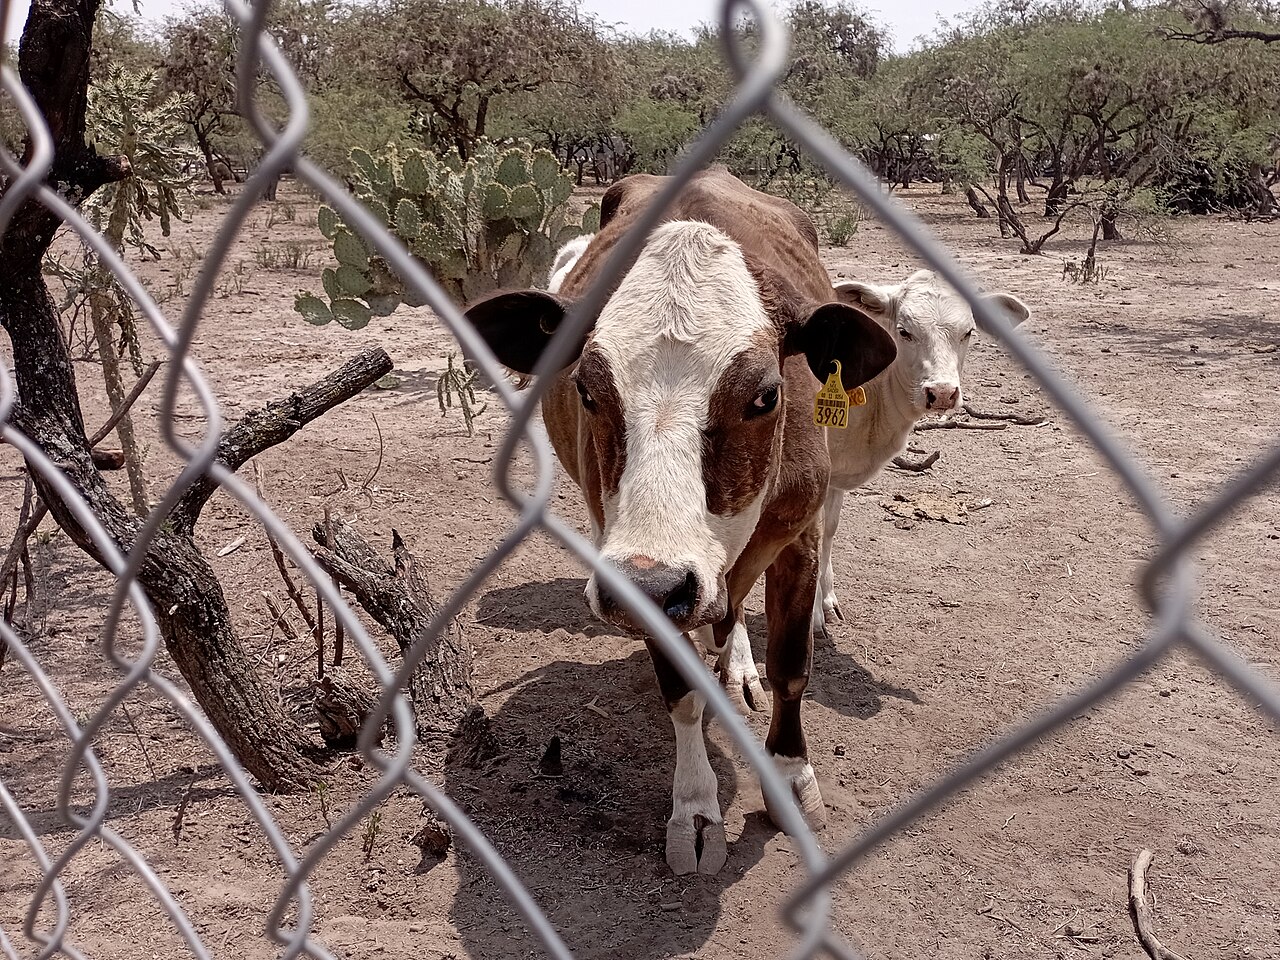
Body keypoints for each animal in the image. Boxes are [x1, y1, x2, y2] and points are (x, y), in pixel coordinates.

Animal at [463, 169, 896, 874]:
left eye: (766, 396)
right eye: (587, 390)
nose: (661, 582)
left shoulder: (799, 535)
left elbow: (791, 665)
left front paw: (791, 776)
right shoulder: (638, 576)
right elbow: (683, 692)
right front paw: (695, 808)